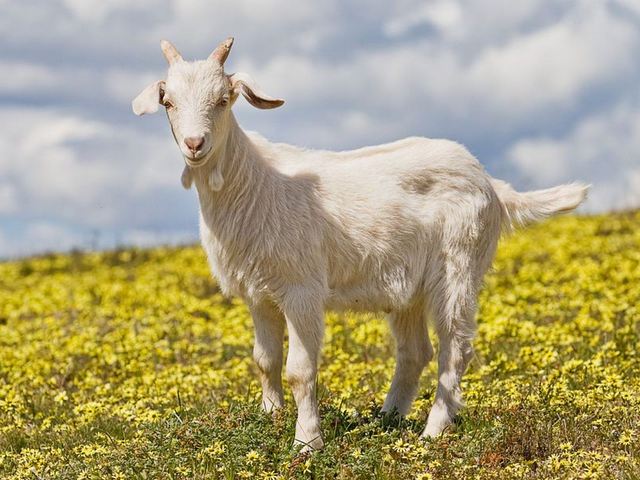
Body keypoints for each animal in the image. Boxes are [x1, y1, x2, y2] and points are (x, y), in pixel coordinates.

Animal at [132, 37, 588, 450]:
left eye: (224, 99)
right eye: (168, 102)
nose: (195, 144)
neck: (255, 183)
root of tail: (491, 184)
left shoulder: (302, 290)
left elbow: (300, 369)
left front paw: (306, 443)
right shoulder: (258, 294)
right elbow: (265, 361)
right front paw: (271, 420)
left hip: (459, 266)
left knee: (455, 349)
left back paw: (432, 431)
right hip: (409, 289)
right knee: (414, 352)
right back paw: (387, 420)